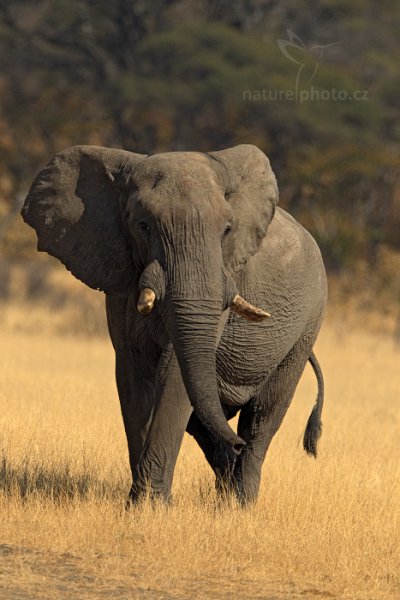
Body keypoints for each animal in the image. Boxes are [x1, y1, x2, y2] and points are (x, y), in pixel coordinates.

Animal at [21, 143, 326, 504]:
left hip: (306, 328)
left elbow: (175, 370)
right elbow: (133, 375)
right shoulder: (120, 278)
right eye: (142, 226)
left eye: (227, 229)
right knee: (204, 420)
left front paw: (150, 506)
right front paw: (141, 504)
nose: (235, 446)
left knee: (261, 418)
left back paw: (240, 502)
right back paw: (227, 485)